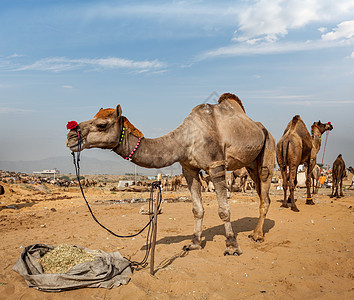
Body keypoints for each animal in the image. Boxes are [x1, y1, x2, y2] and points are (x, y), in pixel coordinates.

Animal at [67, 92, 276, 254]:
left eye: (102, 125)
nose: (70, 136)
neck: (186, 139)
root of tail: (262, 128)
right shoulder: (188, 169)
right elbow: (197, 209)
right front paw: (193, 244)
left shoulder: (216, 165)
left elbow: (224, 210)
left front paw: (232, 246)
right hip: (251, 164)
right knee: (260, 192)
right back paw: (255, 231)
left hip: (268, 149)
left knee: (265, 192)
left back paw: (257, 235)